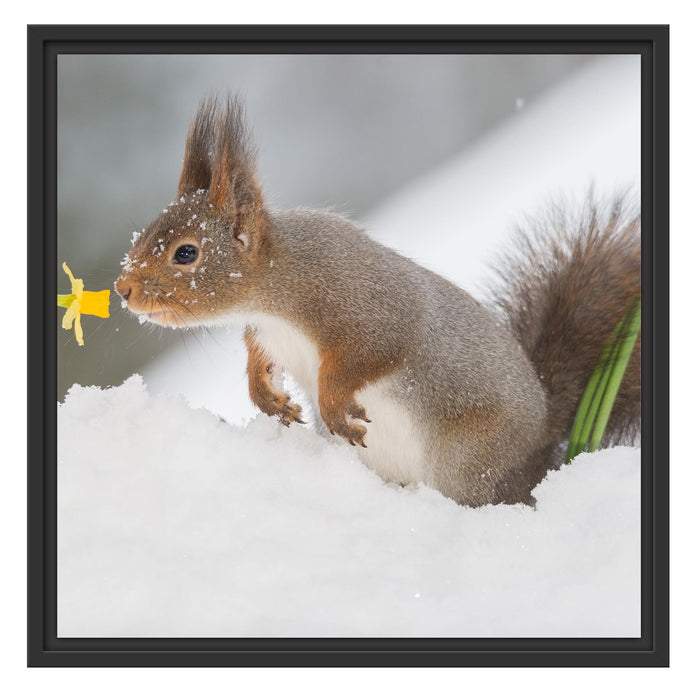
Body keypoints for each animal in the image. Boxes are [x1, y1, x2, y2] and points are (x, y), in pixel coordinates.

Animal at [115, 95, 641, 508]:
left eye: (187, 253)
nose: (122, 289)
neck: (276, 291)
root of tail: (545, 448)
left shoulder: (367, 308)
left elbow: (371, 354)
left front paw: (331, 404)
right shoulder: (267, 336)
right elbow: (259, 364)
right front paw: (270, 401)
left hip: (471, 461)